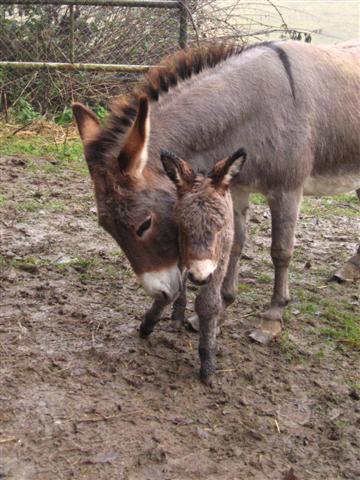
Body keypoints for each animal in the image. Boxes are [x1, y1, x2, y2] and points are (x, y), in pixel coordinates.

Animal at [162, 148, 246, 384]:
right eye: (183, 226)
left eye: (220, 227)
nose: (199, 277)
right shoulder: (179, 250)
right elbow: (177, 285)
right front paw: (172, 316)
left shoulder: (219, 261)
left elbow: (208, 304)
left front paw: (208, 362)